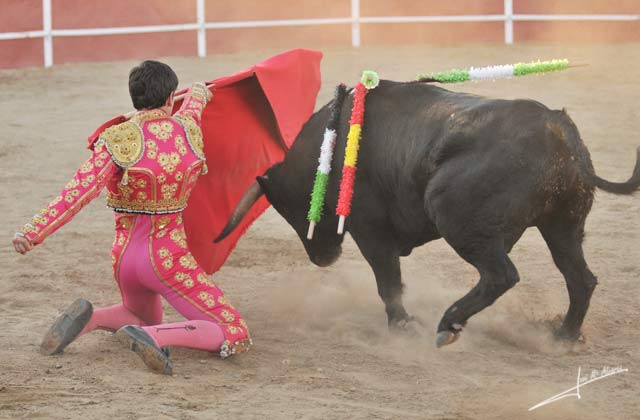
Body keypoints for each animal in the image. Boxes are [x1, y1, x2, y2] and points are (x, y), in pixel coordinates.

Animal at [216, 79, 640, 348]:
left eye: (294, 208)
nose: (322, 258)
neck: (332, 148)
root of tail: (559, 134)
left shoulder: (369, 227)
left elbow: (388, 280)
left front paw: (402, 325)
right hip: (563, 225)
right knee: (580, 278)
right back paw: (564, 336)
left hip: (455, 216)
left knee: (501, 275)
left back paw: (447, 325)